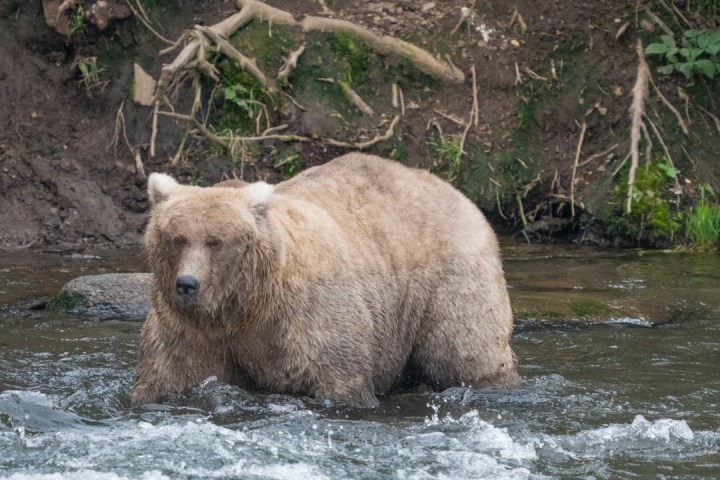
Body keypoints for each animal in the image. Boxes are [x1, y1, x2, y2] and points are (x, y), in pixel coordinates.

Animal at [130, 153, 519, 407]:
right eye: (177, 238)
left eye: (216, 241)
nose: (187, 284)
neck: (244, 305)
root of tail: (456, 192)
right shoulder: (191, 328)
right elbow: (169, 373)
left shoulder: (306, 316)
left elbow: (338, 375)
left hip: (448, 280)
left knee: (465, 351)